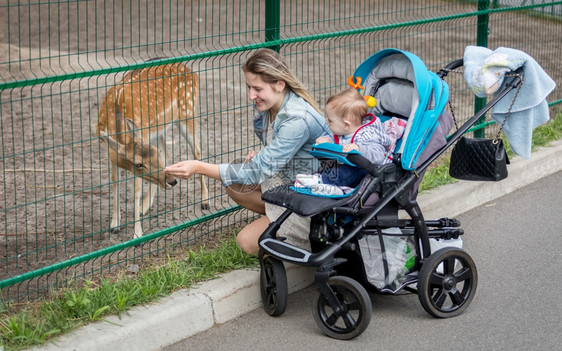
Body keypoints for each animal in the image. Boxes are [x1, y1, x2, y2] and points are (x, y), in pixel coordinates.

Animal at [97, 63, 209, 239]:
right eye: (139, 164)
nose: (172, 181)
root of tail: (192, 71)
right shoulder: (110, 150)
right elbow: (114, 181)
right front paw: (114, 225)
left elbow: (136, 190)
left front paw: (137, 233)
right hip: (159, 128)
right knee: (167, 152)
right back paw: (145, 206)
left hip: (188, 111)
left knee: (197, 151)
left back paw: (205, 201)